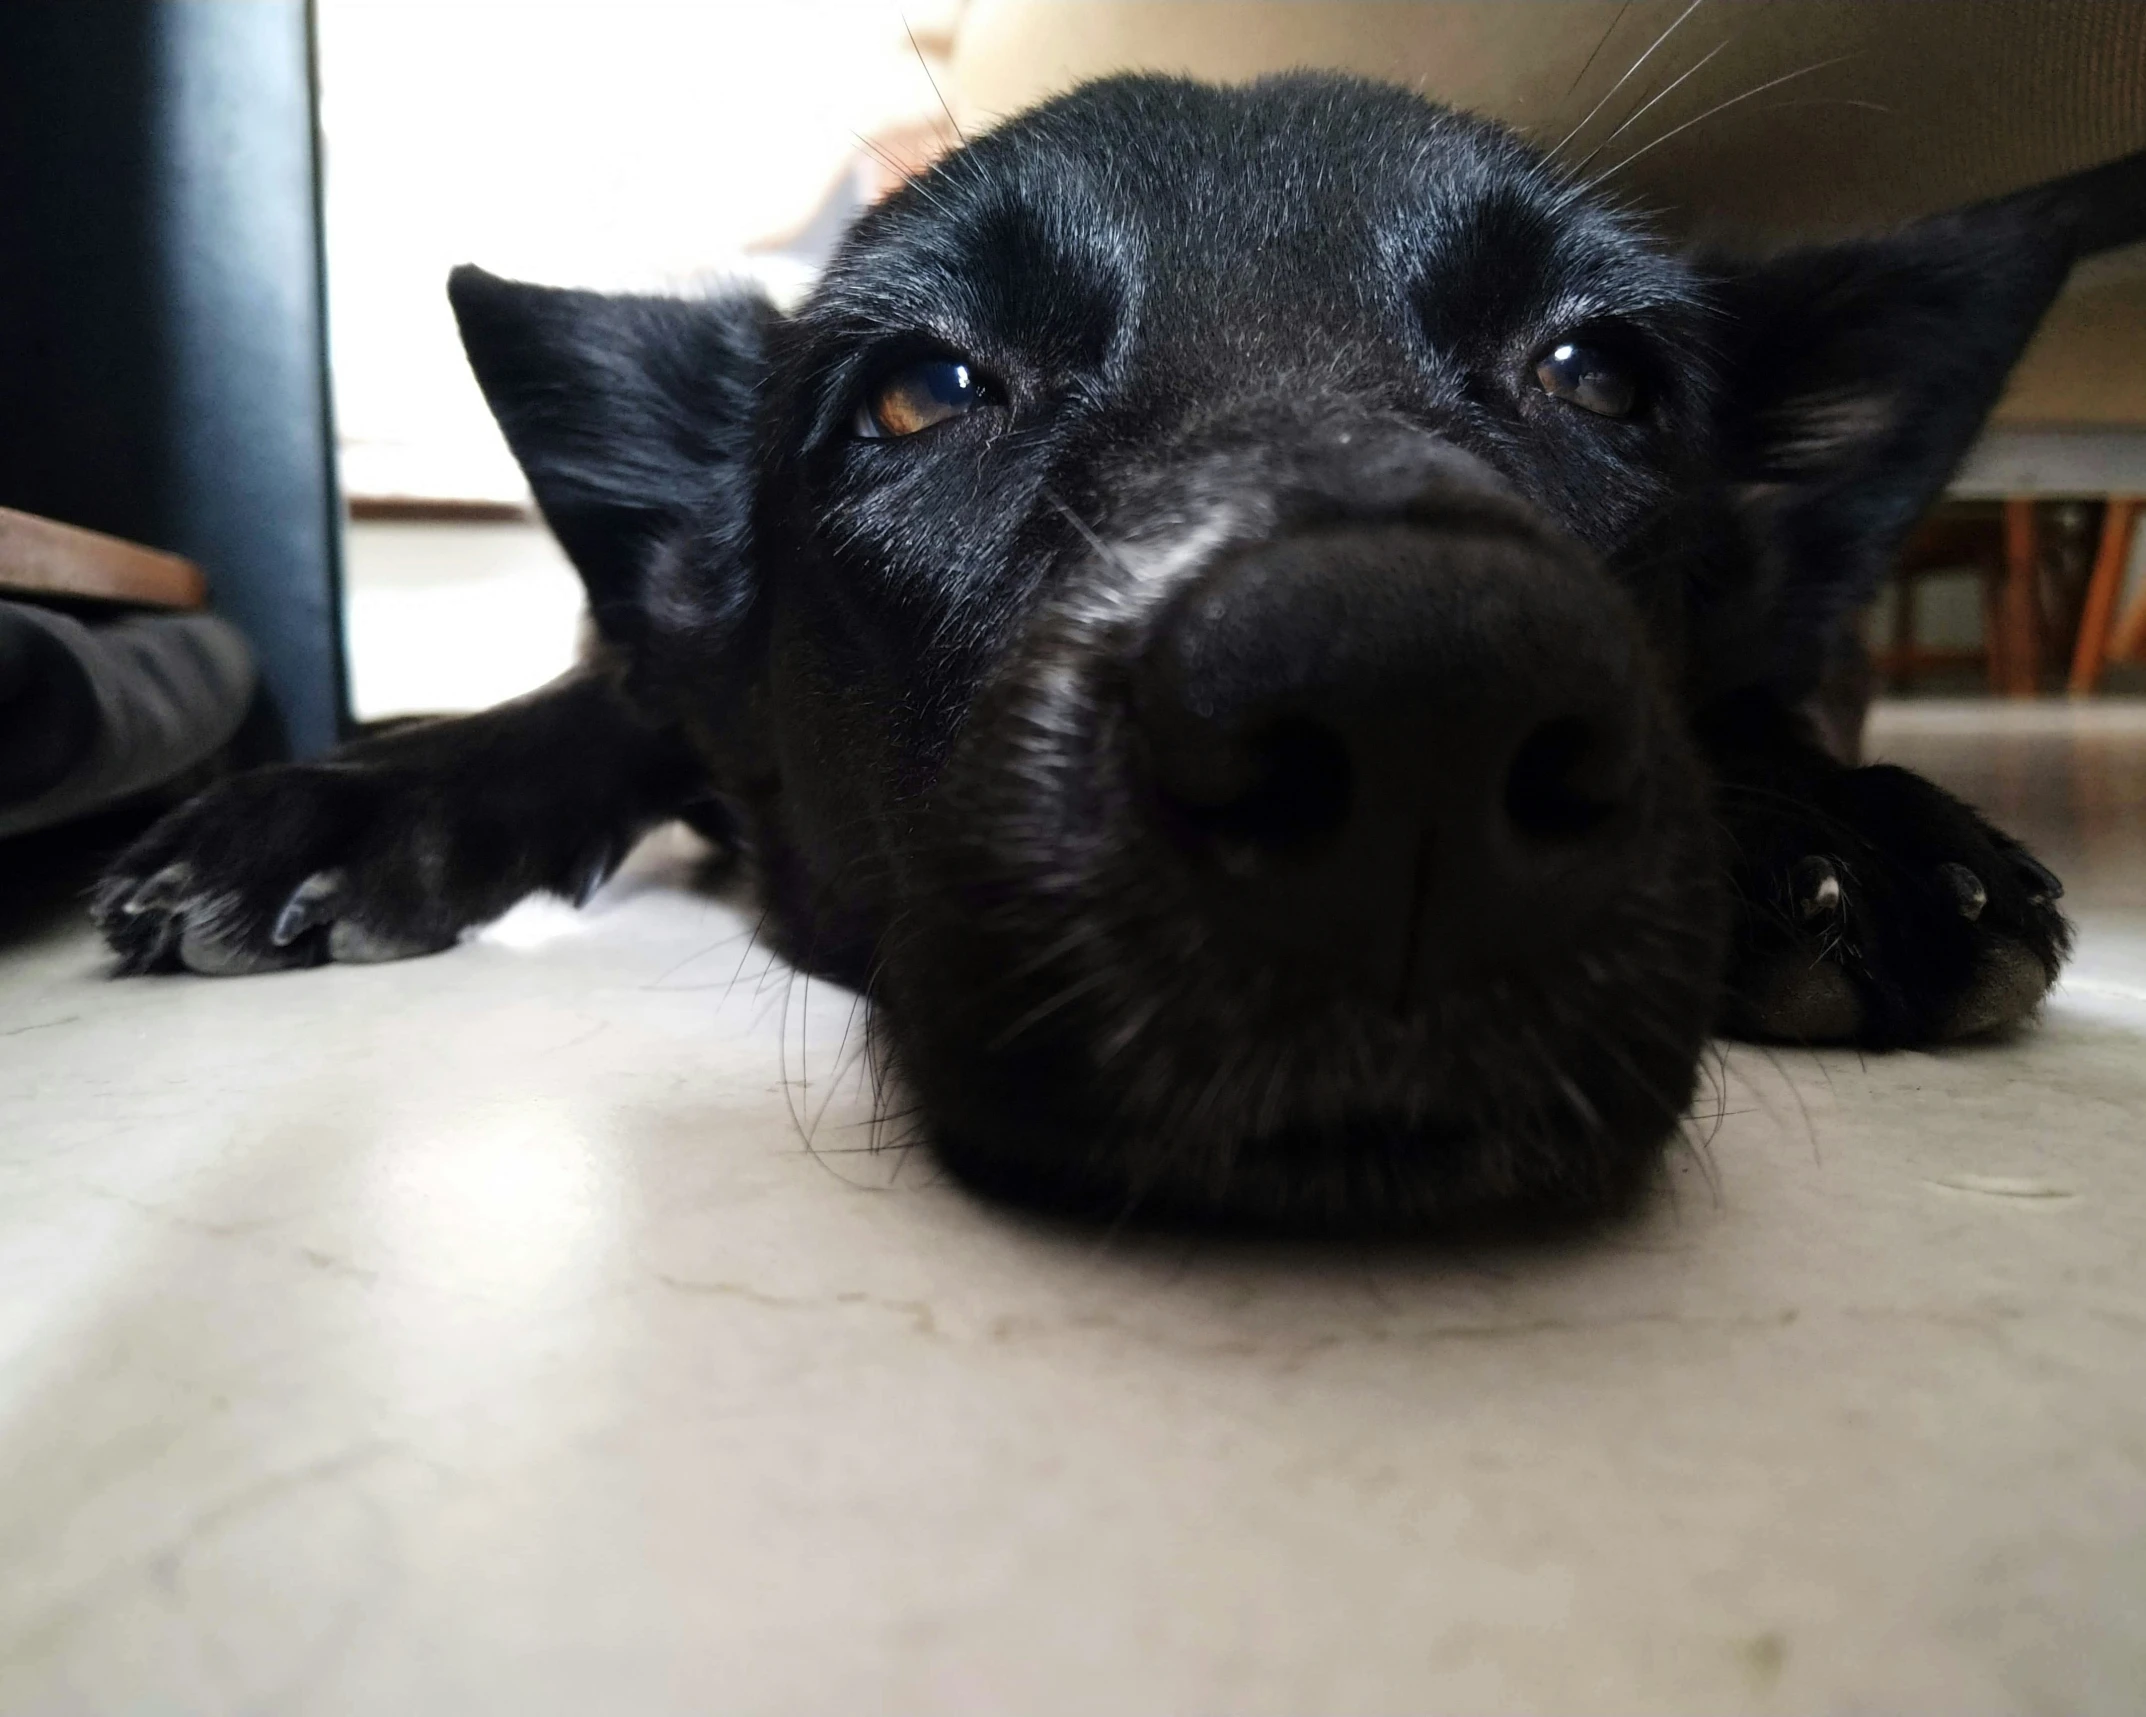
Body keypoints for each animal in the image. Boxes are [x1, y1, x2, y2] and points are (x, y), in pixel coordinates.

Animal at [92, 80, 2146, 1227]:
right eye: (919, 393)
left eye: (1596, 373)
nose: (1410, 721)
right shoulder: (656, 685)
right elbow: (582, 705)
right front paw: (334, 804)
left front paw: (1850, 832)